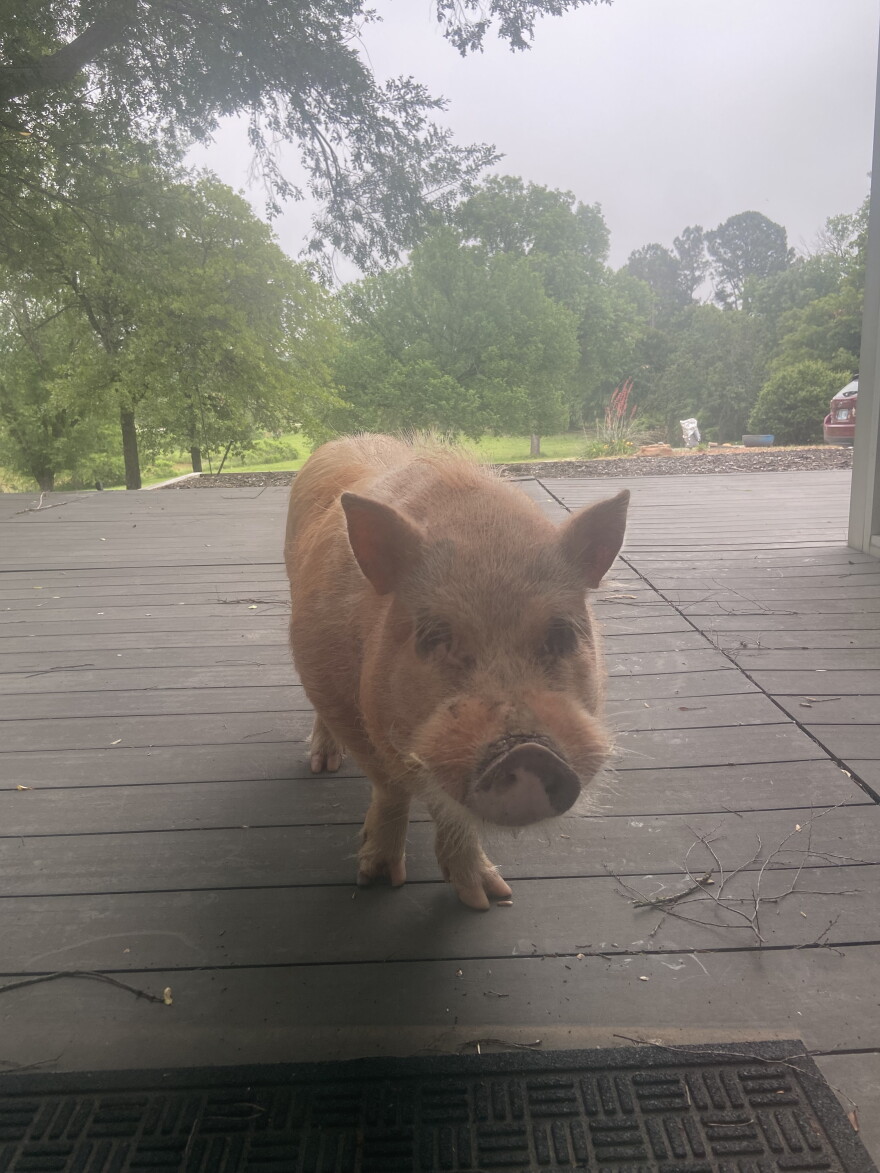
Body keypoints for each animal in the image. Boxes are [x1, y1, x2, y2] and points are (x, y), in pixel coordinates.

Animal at [284, 435, 629, 910]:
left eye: (560, 635)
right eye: (435, 636)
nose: (528, 751)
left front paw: (489, 899)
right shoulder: (335, 691)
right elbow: (390, 785)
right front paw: (375, 880)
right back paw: (324, 766)